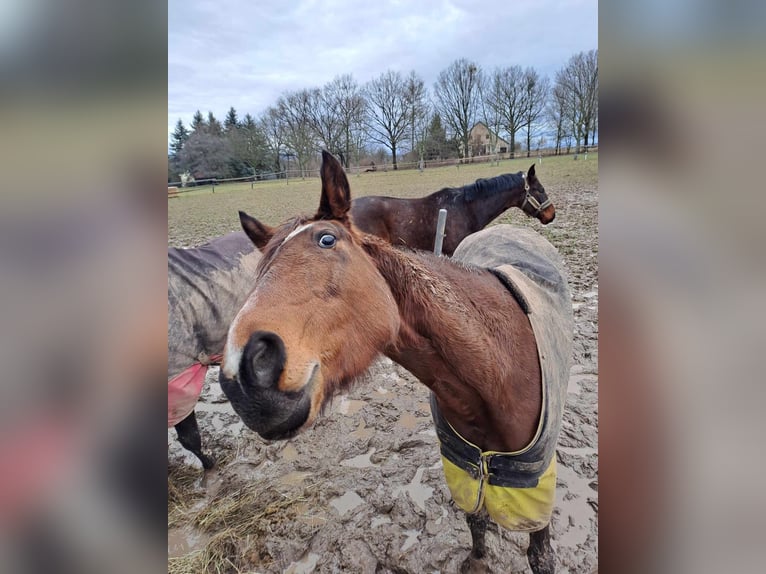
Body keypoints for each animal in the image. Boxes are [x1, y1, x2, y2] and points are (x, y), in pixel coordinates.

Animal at [219, 151, 572, 572]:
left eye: (327, 240)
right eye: (261, 270)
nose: (244, 372)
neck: (499, 372)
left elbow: (537, 553)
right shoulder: (468, 473)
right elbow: (476, 522)